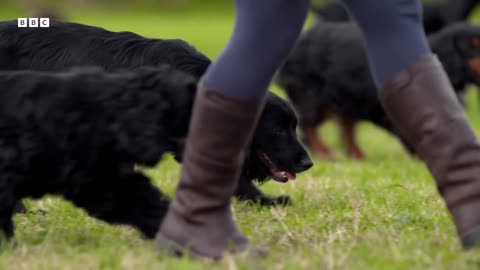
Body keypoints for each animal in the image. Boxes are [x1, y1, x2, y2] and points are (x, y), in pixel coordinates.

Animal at [274, 22, 480, 160]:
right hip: (311, 98)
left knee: (347, 128)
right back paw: (325, 153)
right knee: (309, 127)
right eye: (473, 45)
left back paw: (358, 155)